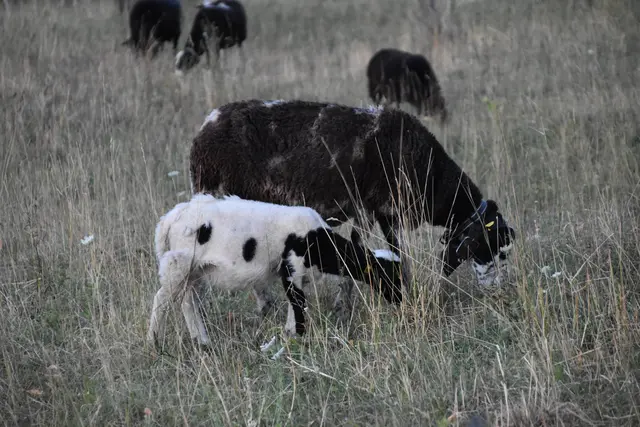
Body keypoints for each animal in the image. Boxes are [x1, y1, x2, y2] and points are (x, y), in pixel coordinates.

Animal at [147, 194, 403, 347]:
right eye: (388, 274)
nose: (401, 299)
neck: (319, 240)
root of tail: (171, 217)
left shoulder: (297, 276)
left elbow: (294, 304)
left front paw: (289, 335)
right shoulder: (292, 267)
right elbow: (298, 304)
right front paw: (298, 339)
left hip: (196, 270)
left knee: (187, 301)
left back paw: (202, 340)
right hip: (179, 263)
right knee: (161, 299)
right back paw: (154, 340)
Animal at [190, 100, 516, 295]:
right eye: (493, 247)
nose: (496, 291)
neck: (430, 174)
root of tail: (205, 128)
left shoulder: (385, 215)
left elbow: (397, 254)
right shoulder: (367, 211)